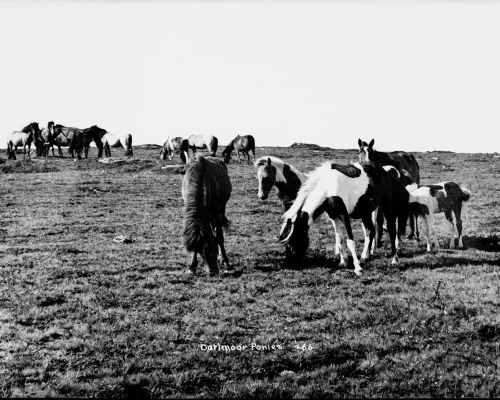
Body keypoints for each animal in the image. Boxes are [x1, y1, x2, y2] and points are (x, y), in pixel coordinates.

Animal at [280, 160, 408, 276]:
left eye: (292, 243)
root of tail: (384, 171)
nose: (290, 265)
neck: (328, 187)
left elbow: (350, 241)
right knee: (370, 231)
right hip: (365, 212)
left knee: (391, 230)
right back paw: (364, 257)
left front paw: (357, 268)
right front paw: (343, 262)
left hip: (386, 206)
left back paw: (394, 259)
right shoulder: (334, 216)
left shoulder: (344, 215)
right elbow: (340, 239)